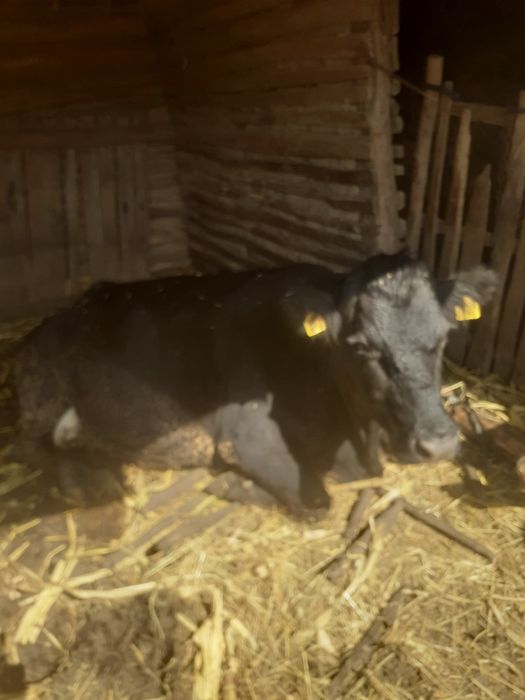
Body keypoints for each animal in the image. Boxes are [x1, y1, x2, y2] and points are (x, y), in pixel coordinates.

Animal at [12, 252, 496, 514]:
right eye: (362, 347)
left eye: (443, 337)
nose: (437, 444)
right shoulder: (247, 438)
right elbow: (316, 499)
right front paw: (234, 485)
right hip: (40, 393)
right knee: (33, 447)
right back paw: (92, 482)